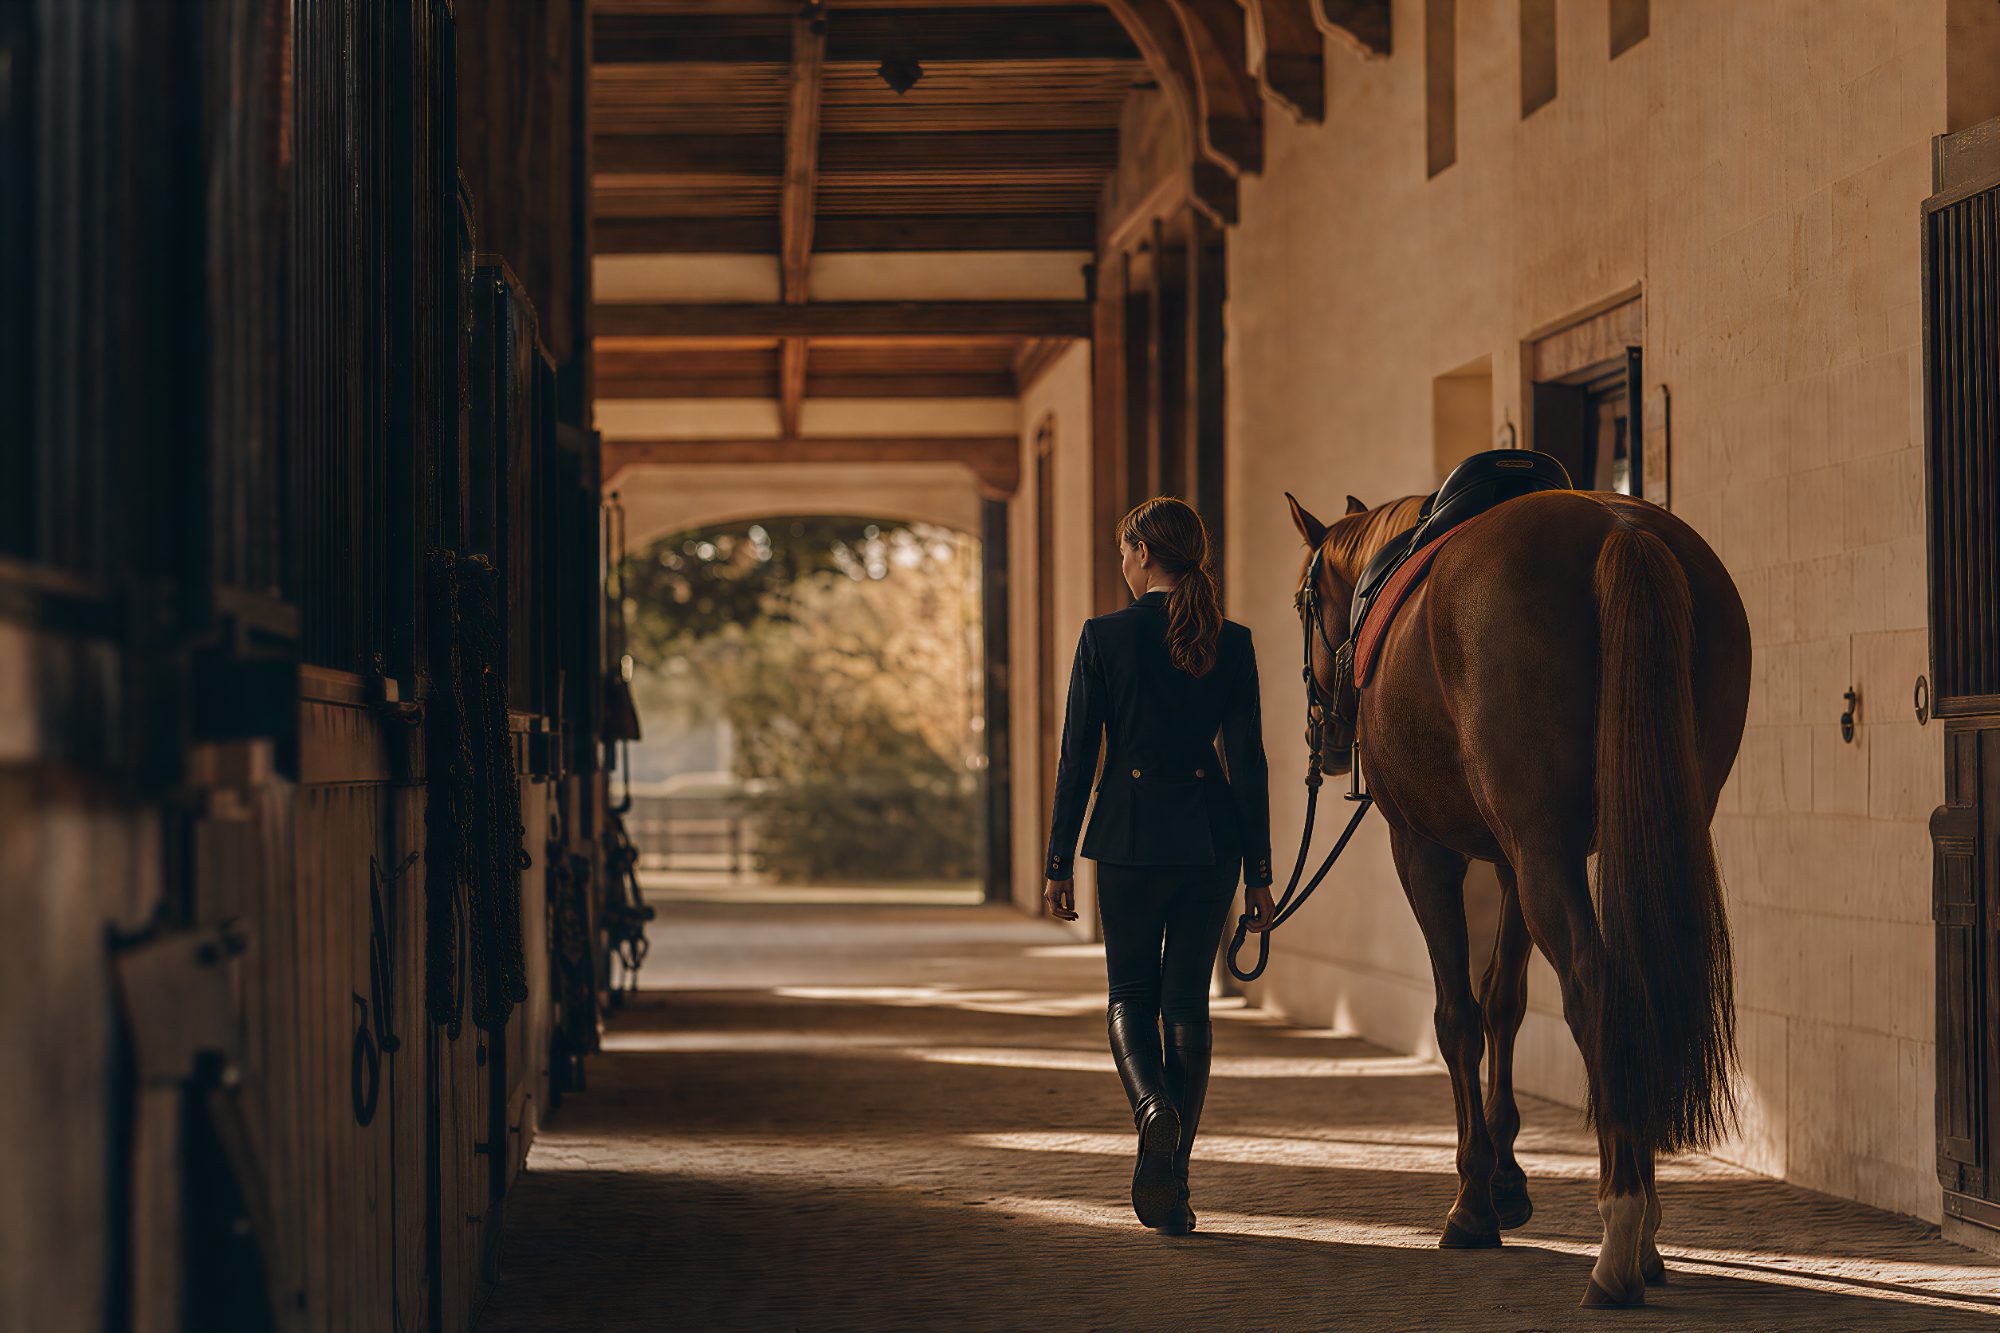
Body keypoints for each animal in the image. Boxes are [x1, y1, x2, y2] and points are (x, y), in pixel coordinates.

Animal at [1283, 486, 1750, 1307]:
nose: (1322, 737)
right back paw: (1647, 1230)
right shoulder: (1510, 862)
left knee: (1595, 986)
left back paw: (1620, 1235)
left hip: (1540, 851)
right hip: (1643, 823)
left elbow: (1458, 1016)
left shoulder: (1425, 851)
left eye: (1304, 602)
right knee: (1634, 984)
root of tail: (1623, 531)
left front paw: (1472, 1200)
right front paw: (1505, 1180)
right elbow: (1504, 1000)